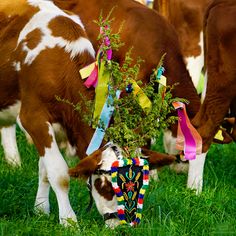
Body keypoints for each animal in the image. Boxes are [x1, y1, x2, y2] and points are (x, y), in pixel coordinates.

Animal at [0, 0, 175, 226]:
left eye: (140, 185)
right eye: (107, 185)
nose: (122, 226)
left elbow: (44, 169)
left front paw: (41, 209)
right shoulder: (33, 118)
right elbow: (59, 173)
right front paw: (68, 220)